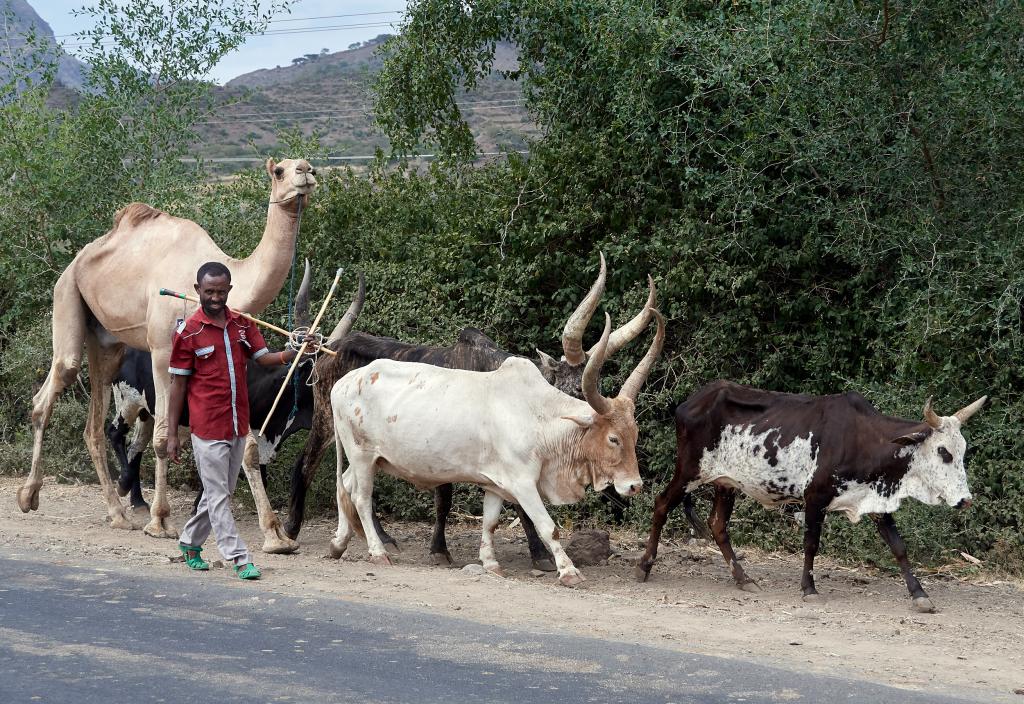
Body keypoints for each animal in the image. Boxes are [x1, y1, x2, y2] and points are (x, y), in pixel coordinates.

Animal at [18, 156, 315, 552]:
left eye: (309, 166)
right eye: (280, 171)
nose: (306, 171)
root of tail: (81, 256)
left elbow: (245, 444)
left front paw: (277, 535)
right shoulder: (162, 350)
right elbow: (162, 436)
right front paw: (160, 521)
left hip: (108, 342)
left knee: (93, 422)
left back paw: (117, 513)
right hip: (66, 292)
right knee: (57, 380)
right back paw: (28, 496)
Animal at [638, 378, 983, 609]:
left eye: (963, 450)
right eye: (943, 452)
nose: (965, 500)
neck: (863, 438)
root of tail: (692, 401)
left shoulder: (875, 501)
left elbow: (899, 547)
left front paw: (919, 594)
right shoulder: (814, 498)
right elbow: (811, 545)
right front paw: (808, 588)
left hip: (726, 483)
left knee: (718, 526)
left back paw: (743, 579)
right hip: (688, 471)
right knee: (661, 505)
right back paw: (645, 565)